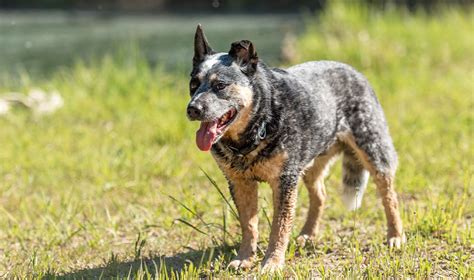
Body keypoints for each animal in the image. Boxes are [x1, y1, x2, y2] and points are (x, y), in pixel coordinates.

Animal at [187, 25, 406, 272]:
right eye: (193, 84)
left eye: (220, 85)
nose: (192, 109)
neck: (260, 123)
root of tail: (353, 70)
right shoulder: (240, 182)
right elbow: (249, 225)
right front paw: (245, 258)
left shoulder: (285, 180)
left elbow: (279, 227)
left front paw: (272, 262)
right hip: (311, 162)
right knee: (320, 195)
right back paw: (308, 234)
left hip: (373, 149)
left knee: (389, 195)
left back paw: (395, 236)